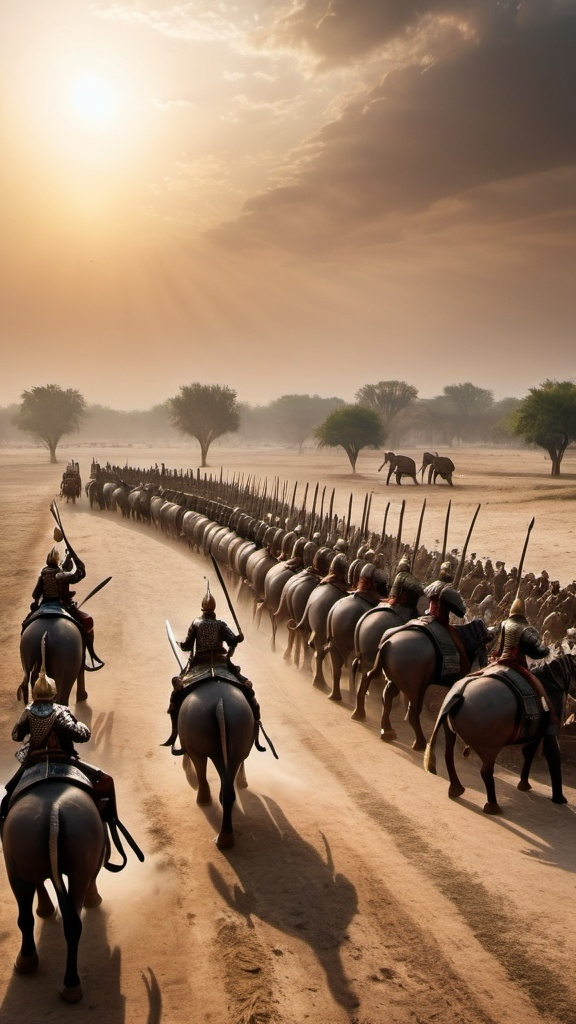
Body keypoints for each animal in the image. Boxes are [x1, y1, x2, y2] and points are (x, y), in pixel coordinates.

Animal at [176, 679, 254, 847]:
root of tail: (220, 704)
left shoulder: (192, 746)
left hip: (200, 742)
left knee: (202, 767)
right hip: (238, 737)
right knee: (228, 787)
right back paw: (226, 837)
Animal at [422, 655, 573, 815]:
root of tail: (459, 694)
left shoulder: (537, 732)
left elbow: (529, 752)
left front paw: (524, 784)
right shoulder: (550, 726)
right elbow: (553, 754)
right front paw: (559, 798)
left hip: (450, 729)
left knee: (448, 756)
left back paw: (456, 789)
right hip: (489, 745)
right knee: (485, 771)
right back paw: (492, 806)